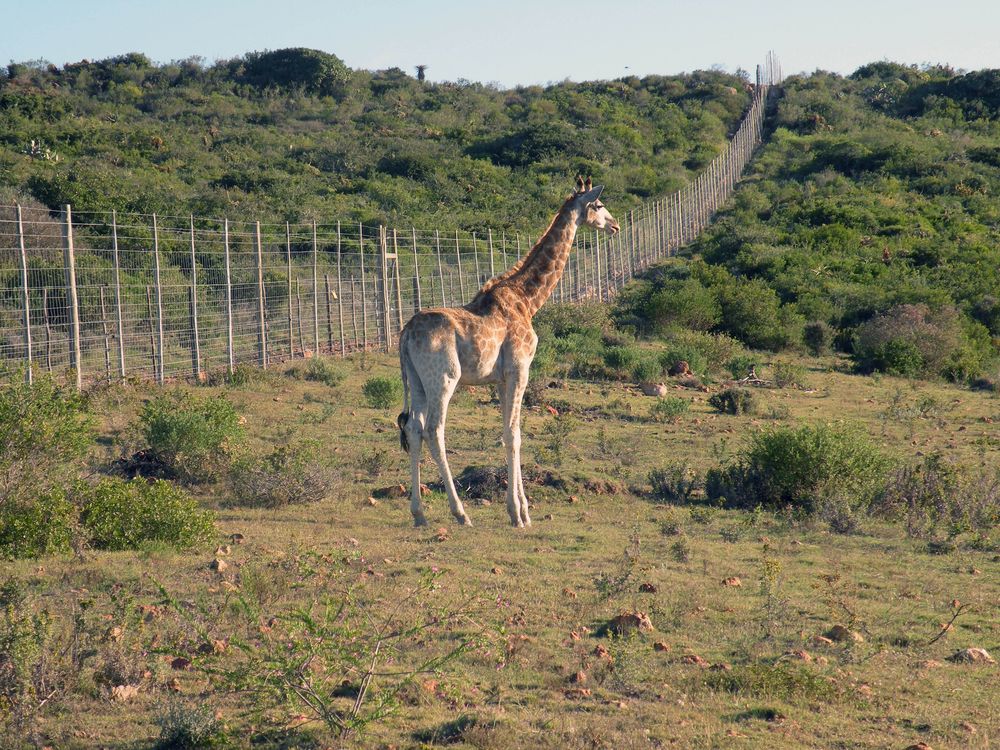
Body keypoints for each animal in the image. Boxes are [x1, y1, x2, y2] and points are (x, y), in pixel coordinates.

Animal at [396, 178, 616, 528]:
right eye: (598, 204)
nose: (614, 225)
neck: (527, 300)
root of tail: (404, 336)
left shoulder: (500, 379)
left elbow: (508, 431)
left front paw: (523, 509)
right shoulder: (519, 369)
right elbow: (514, 434)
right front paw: (518, 514)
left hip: (416, 380)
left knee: (414, 429)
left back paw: (419, 514)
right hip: (443, 377)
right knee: (434, 430)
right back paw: (460, 513)